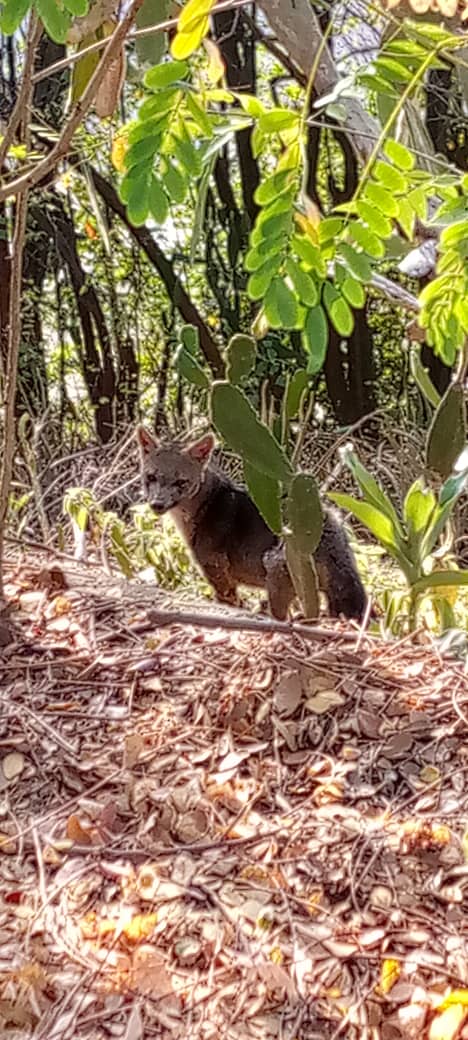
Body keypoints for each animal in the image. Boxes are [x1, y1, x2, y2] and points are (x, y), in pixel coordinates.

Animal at [137, 426, 368, 619]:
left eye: (181, 482)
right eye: (151, 477)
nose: (157, 504)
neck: (206, 505)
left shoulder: (215, 569)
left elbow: (228, 601)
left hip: (277, 574)